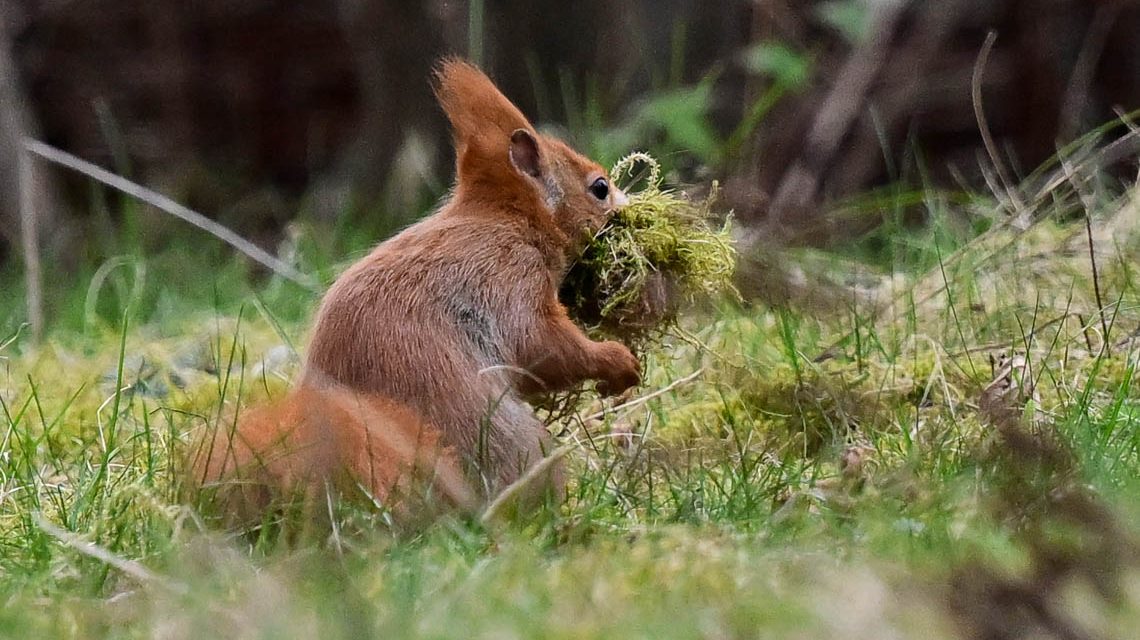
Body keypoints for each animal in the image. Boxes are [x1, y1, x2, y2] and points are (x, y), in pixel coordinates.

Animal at [193, 58, 640, 524]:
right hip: (510, 441)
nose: (631, 208)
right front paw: (617, 360)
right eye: (600, 188)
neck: (507, 221)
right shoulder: (509, 279)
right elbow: (544, 348)